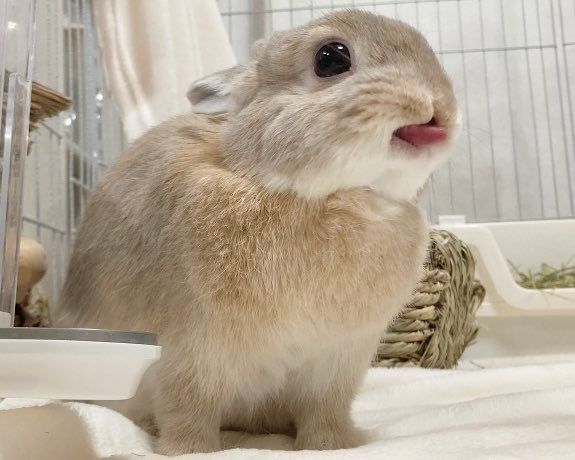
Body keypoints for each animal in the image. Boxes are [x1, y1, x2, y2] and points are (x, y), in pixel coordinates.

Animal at [57, 9, 459, 455]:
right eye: (331, 59)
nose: (439, 103)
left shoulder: (337, 363)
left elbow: (324, 412)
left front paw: (332, 446)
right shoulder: (188, 353)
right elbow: (187, 409)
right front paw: (189, 451)